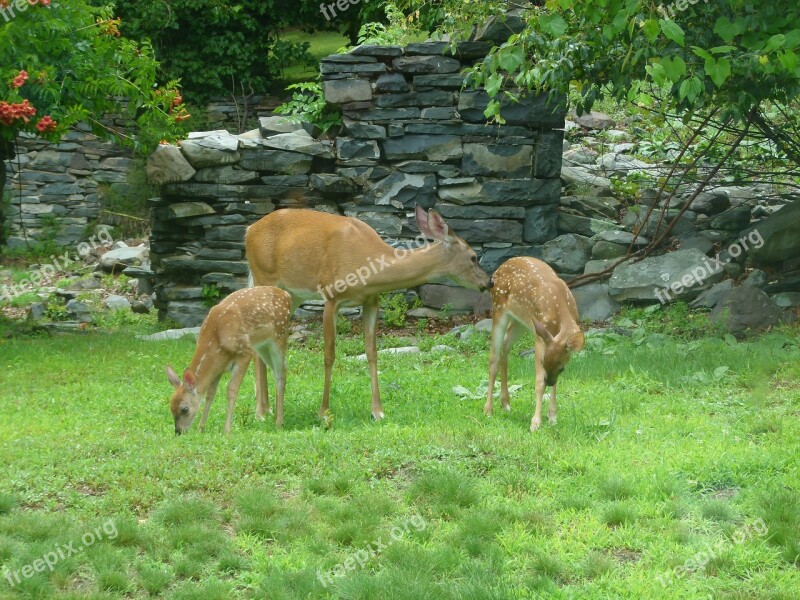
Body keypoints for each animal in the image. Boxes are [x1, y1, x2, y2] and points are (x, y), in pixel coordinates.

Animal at [165, 288, 290, 434]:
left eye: (184, 409)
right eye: (171, 408)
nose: (178, 432)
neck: (216, 342)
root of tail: (286, 295)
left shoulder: (245, 352)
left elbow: (231, 390)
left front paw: (227, 431)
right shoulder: (219, 366)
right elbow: (210, 394)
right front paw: (201, 427)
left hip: (279, 337)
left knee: (281, 375)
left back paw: (279, 422)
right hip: (263, 347)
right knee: (278, 371)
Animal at [247, 206, 490, 422]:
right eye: (473, 256)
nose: (489, 282)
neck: (369, 262)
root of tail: (249, 230)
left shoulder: (371, 301)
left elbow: (372, 353)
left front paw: (377, 412)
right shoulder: (331, 297)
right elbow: (329, 355)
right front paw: (324, 412)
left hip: (293, 294)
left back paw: (266, 408)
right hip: (263, 278)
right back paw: (261, 411)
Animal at [484, 256, 584, 432]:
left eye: (562, 368)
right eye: (543, 363)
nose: (549, 381)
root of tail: (499, 268)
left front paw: (552, 417)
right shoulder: (540, 338)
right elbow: (538, 382)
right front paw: (535, 423)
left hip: (521, 321)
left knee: (505, 348)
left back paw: (506, 403)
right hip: (499, 309)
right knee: (493, 357)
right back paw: (488, 410)